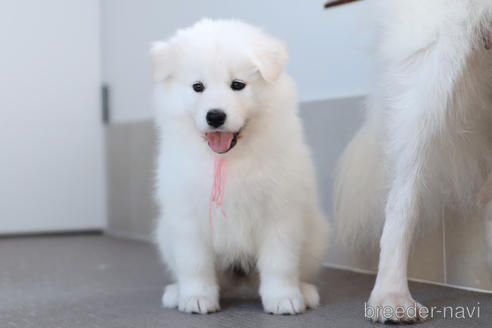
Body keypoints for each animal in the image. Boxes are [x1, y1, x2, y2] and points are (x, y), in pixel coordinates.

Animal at [152, 18, 328, 316]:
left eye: (238, 85)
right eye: (197, 87)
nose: (215, 116)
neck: (228, 160)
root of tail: (240, 283)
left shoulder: (280, 212)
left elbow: (280, 263)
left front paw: (283, 298)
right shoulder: (187, 217)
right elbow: (195, 264)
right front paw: (196, 298)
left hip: (315, 233)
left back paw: (305, 291)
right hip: (165, 234)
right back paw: (176, 293)